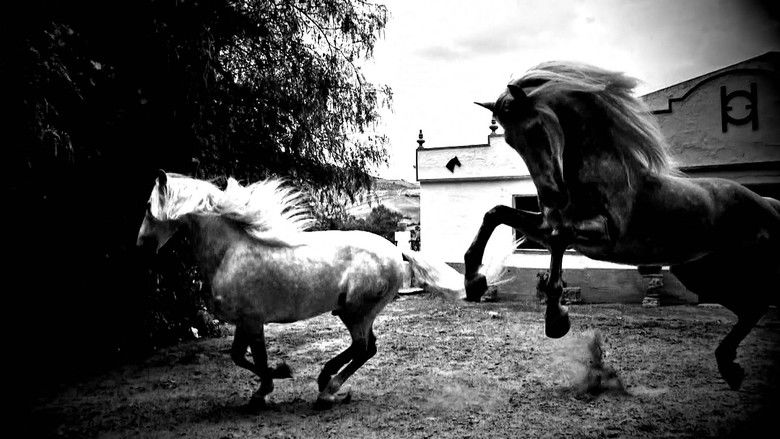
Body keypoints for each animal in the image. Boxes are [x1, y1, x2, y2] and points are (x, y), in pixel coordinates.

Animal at [136, 170, 507, 409]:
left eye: (148, 208)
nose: (141, 245)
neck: (231, 250)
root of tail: (395, 250)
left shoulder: (253, 320)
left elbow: (254, 359)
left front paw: (275, 380)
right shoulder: (246, 321)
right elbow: (238, 356)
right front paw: (263, 390)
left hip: (355, 311)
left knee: (362, 348)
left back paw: (327, 387)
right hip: (356, 312)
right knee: (366, 348)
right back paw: (328, 386)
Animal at [464, 61, 780, 390]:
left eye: (536, 129)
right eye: (510, 140)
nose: (552, 195)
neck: (597, 173)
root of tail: (768, 203)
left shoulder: (605, 235)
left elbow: (559, 239)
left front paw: (557, 319)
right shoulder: (545, 225)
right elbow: (496, 214)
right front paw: (474, 282)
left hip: (739, 270)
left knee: (757, 304)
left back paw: (731, 365)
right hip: (701, 273)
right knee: (750, 308)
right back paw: (729, 366)